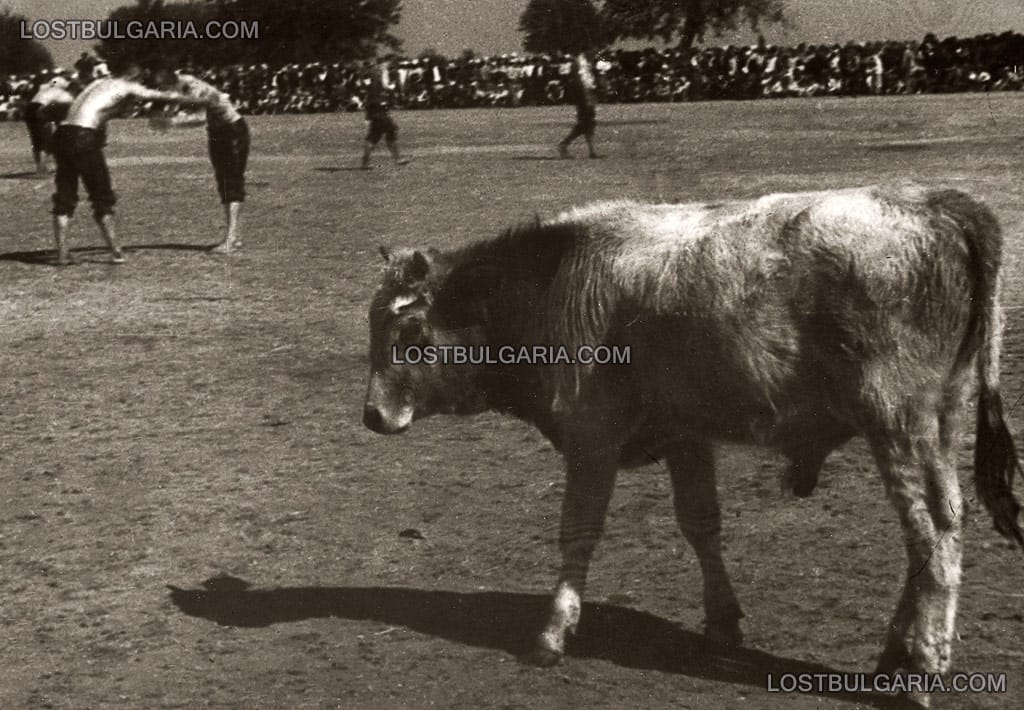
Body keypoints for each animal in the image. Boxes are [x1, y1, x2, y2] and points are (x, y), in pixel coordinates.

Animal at [364, 185, 1019, 704]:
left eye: (410, 331)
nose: (373, 415)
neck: (552, 281)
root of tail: (935, 203)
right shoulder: (687, 436)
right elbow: (701, 524)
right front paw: (722, 621)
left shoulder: (591, 438)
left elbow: (578, 531)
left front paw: (552, 634)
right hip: (940, 421)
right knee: (938, 531)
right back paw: (896, 657)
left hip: (897, 423)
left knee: (932, 532)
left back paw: (920, 672)